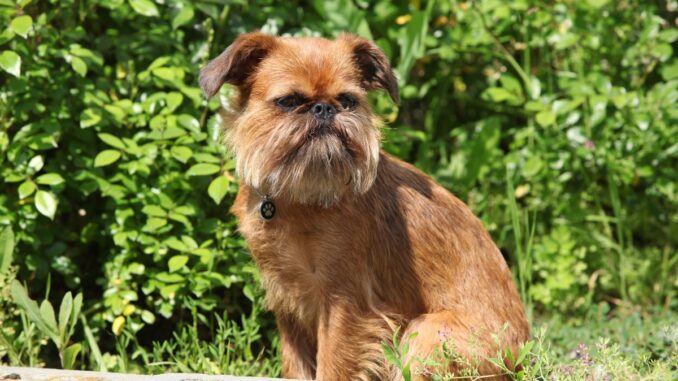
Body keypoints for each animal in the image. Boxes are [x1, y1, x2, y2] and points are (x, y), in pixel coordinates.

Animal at [199, 32, 528, 380]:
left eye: (348, 101)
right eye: (288, 101)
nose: (323, 108)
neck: (297, 197)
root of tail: (521, 357)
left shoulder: (343, 300)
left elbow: (333, 364)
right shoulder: (286, 298)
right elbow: (295, 363)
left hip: (426, 335)